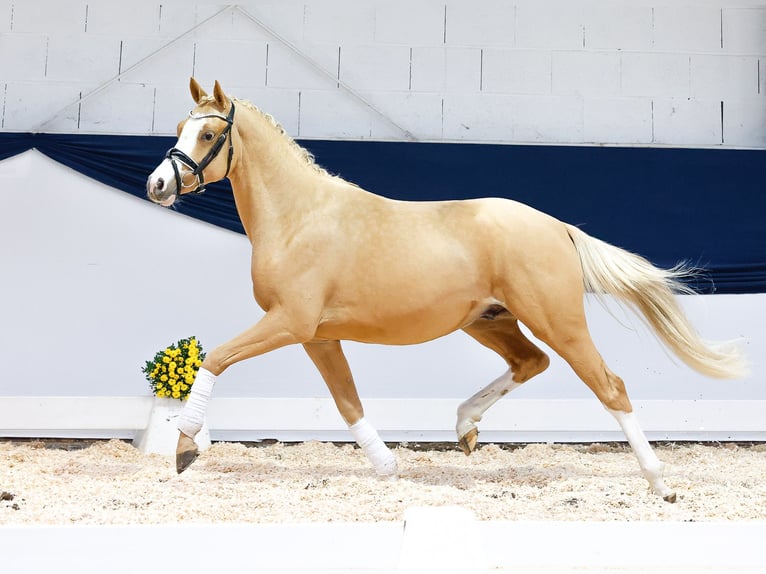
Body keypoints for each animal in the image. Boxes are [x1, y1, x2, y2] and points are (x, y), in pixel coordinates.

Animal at [146, 79, 752, 502]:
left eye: (207, 133)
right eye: (178, 124)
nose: (157, 184)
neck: (302, 218)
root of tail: (557, 227)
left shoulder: (289, 322)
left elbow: (217, 358)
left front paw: (185, 446)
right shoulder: (317, 335)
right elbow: (347, 402)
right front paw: (389, 469)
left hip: (558, 321)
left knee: (611, 386)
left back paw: (660, 483)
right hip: (490, 321)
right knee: (530, 363)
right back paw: (464, 428)